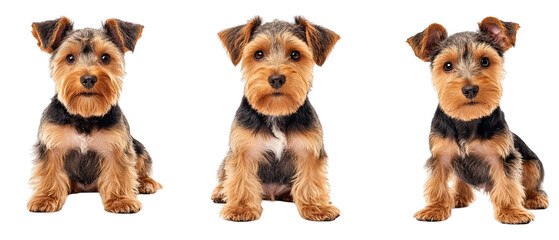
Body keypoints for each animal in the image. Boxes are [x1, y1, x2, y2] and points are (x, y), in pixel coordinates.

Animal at [28, 15, 161, 213]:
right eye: (70, 58)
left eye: (105, 57)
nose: (88, 78)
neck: (85, 115)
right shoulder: (52, 144)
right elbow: (49, 171)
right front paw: (46, 198)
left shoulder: (117, 145)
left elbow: (119, 172)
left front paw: (120, 200)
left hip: (137, 146)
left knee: (141, 162)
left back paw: (145, 183)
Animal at [211, 16, 340, 221]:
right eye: (258, 54)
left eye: (295, 54)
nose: (277, 78)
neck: (276, 113)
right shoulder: (243, 149)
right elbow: (240, 178)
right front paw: (240, 208)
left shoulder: (309, 149)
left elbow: (311, 180)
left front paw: (316, 207)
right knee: (224, 176)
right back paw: (221, 192)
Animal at [410, 16, 548, 223]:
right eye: (447, 66)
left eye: (485, 61)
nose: (470, 89)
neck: (467, 119)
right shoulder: (441, 155)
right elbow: (437, 182)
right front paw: (435, 208)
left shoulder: (503, 156)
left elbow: (507, 183)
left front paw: (510, 211)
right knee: (461, 181)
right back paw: (458, 197)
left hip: (532, 162)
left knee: (530, 182)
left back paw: (535, 198)